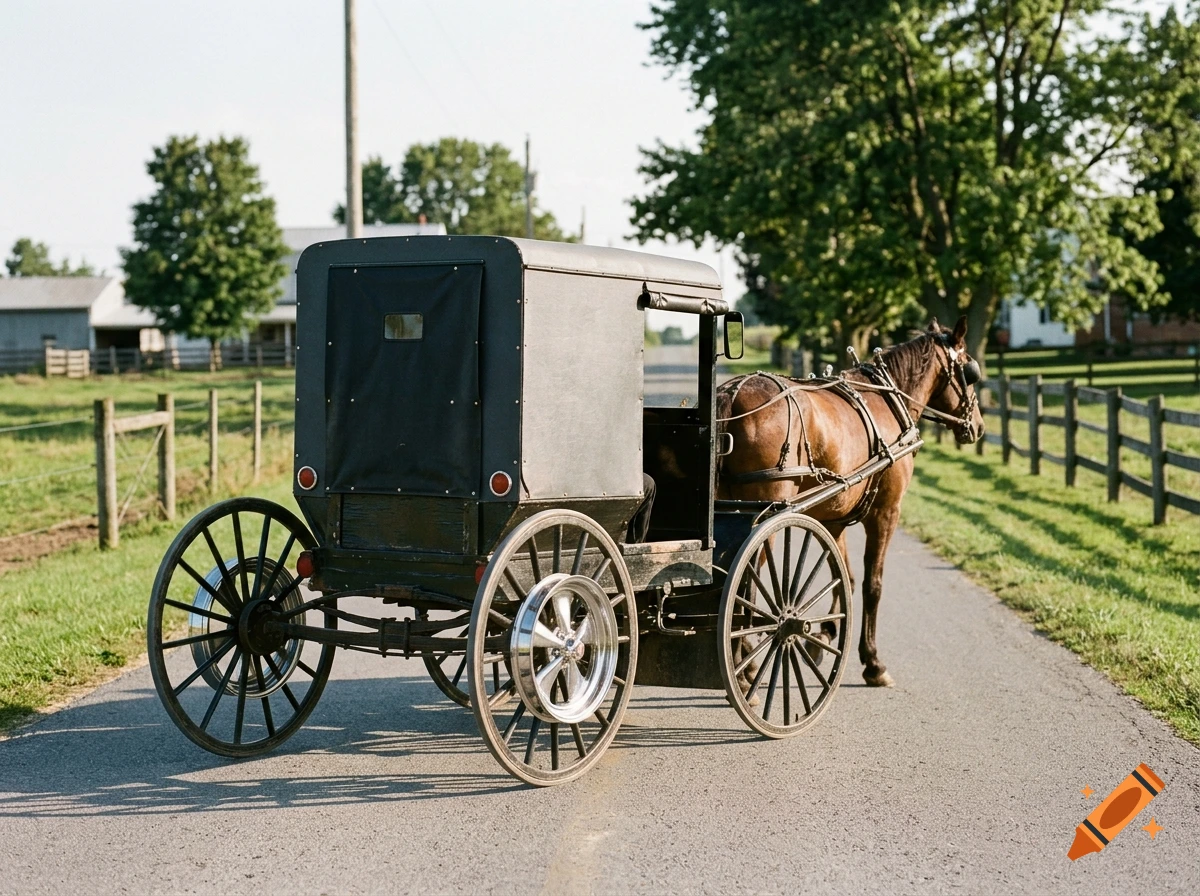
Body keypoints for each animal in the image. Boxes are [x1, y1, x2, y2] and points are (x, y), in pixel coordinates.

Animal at [715, 317, 985, 688]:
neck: (886, 399)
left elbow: (846, 578)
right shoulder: (886, 513)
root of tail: (732, 393)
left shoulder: (835, 520)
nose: (979, 426)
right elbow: (874, 584)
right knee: (746, 583)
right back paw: (747, 667)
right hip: (765, 514)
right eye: (970, 372)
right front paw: (873, 662)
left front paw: (826, 633)